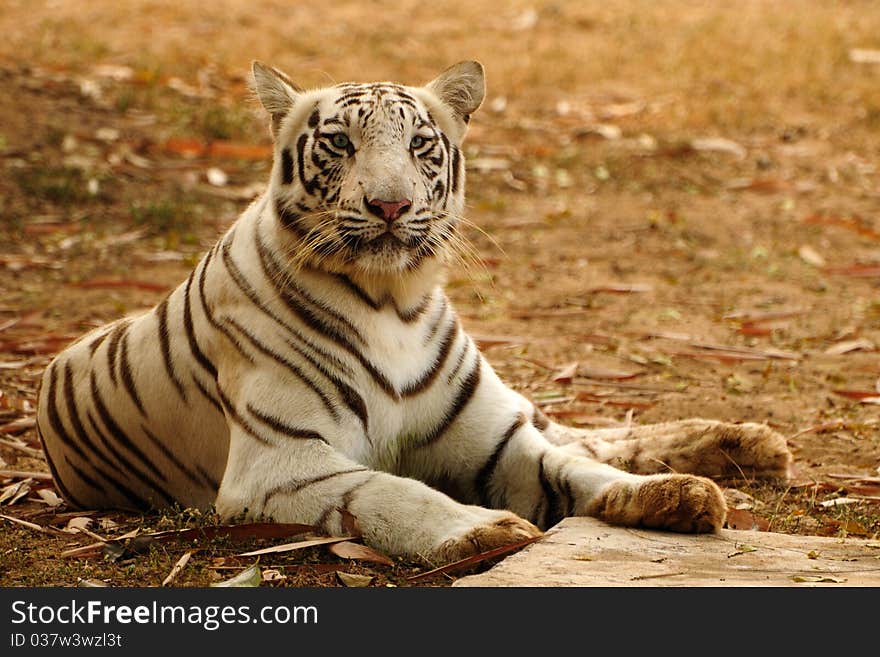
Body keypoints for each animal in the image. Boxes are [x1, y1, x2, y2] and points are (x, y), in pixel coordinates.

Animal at [36, 61, 792, 560]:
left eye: (419, 144)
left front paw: (674, 494)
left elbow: (576, 468)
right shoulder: (279, 464)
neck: (391, 301)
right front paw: (484, 531)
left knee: (578, 434)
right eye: (340, 143)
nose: (391, 205)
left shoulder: (496, 439)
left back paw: (745, 445)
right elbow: (389, 492)